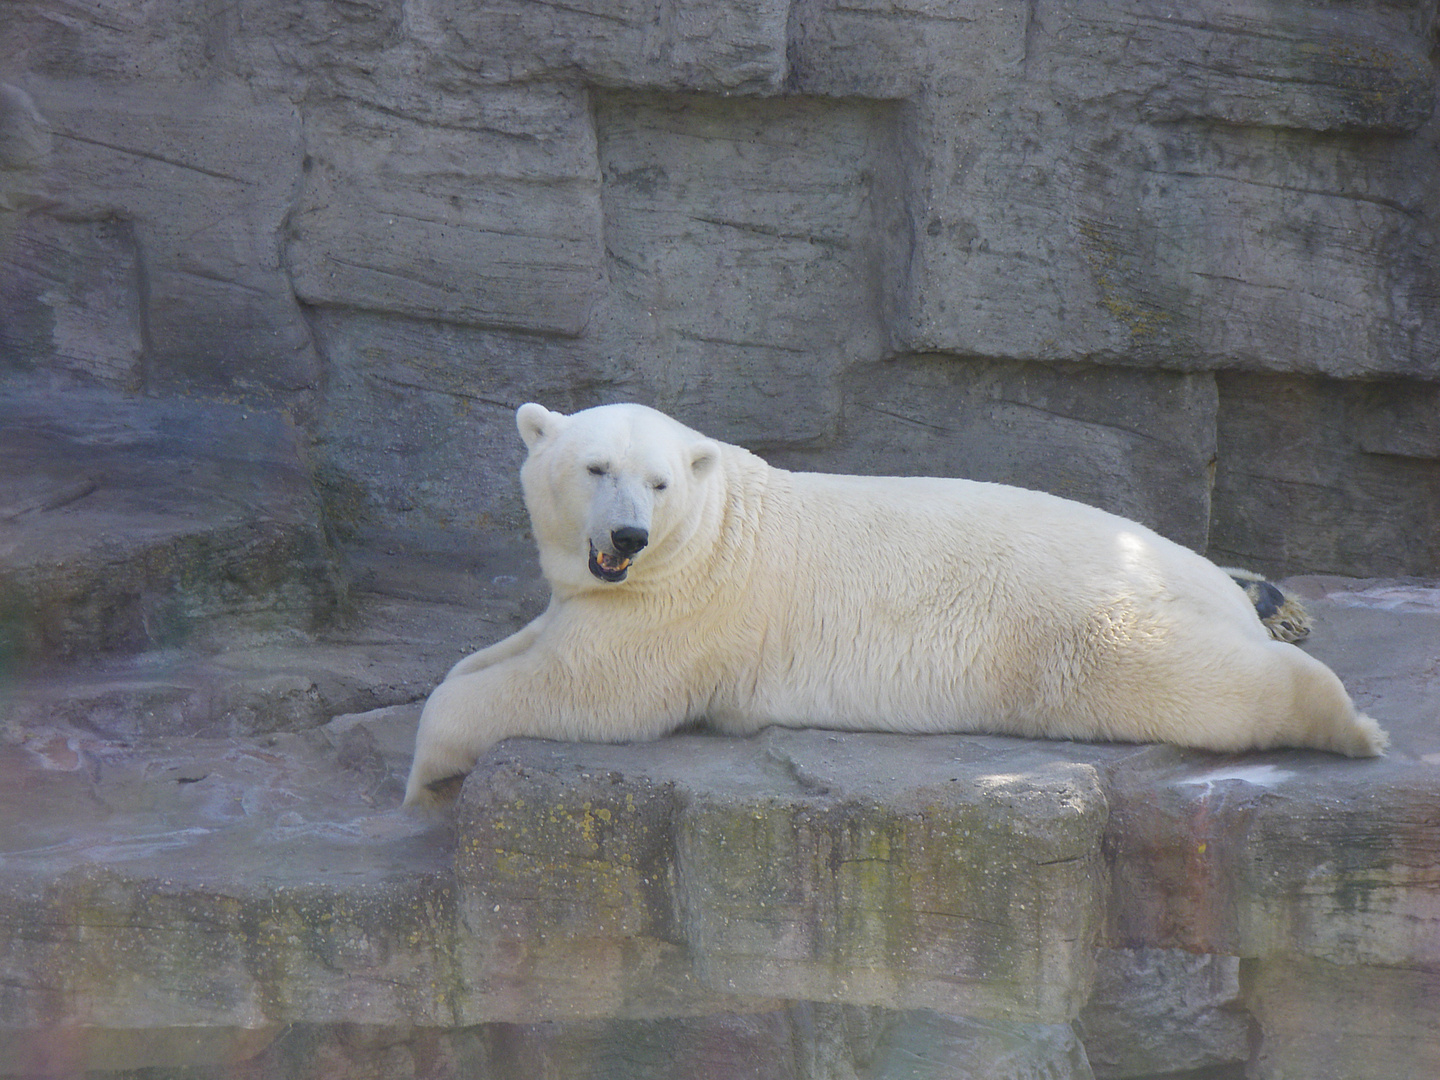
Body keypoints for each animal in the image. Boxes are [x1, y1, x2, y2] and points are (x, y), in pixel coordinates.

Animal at [403, 403, 1382, 806]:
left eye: (658, 481)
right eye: (595, 467)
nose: (630, 536)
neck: (719, 528)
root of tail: (1192, 578)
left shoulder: (682, 610)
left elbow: (581, 689)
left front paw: (424, 774)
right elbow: (516, 645)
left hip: (1092, 632)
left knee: (1200, 682)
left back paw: (1349, 718)